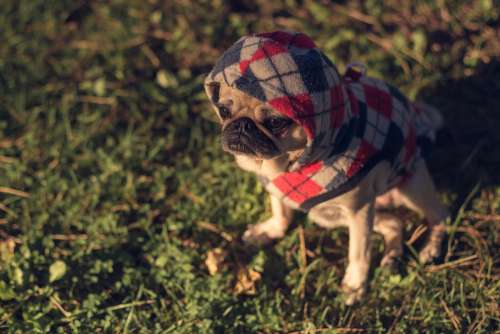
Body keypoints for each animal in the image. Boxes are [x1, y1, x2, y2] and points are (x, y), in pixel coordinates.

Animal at [204, 31, 450, 306]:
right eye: (224, 111)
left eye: (276, 122)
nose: (241, 125)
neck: (286, 164)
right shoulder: (277, 187)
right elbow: (281, 213)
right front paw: (269, 231)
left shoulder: (358, 211)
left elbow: (359, 252)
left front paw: (355, 284)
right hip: (328, 215)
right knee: (395, 223)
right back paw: (391, 258)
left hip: (410, 188)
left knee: (440, 216)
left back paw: (430, 249)